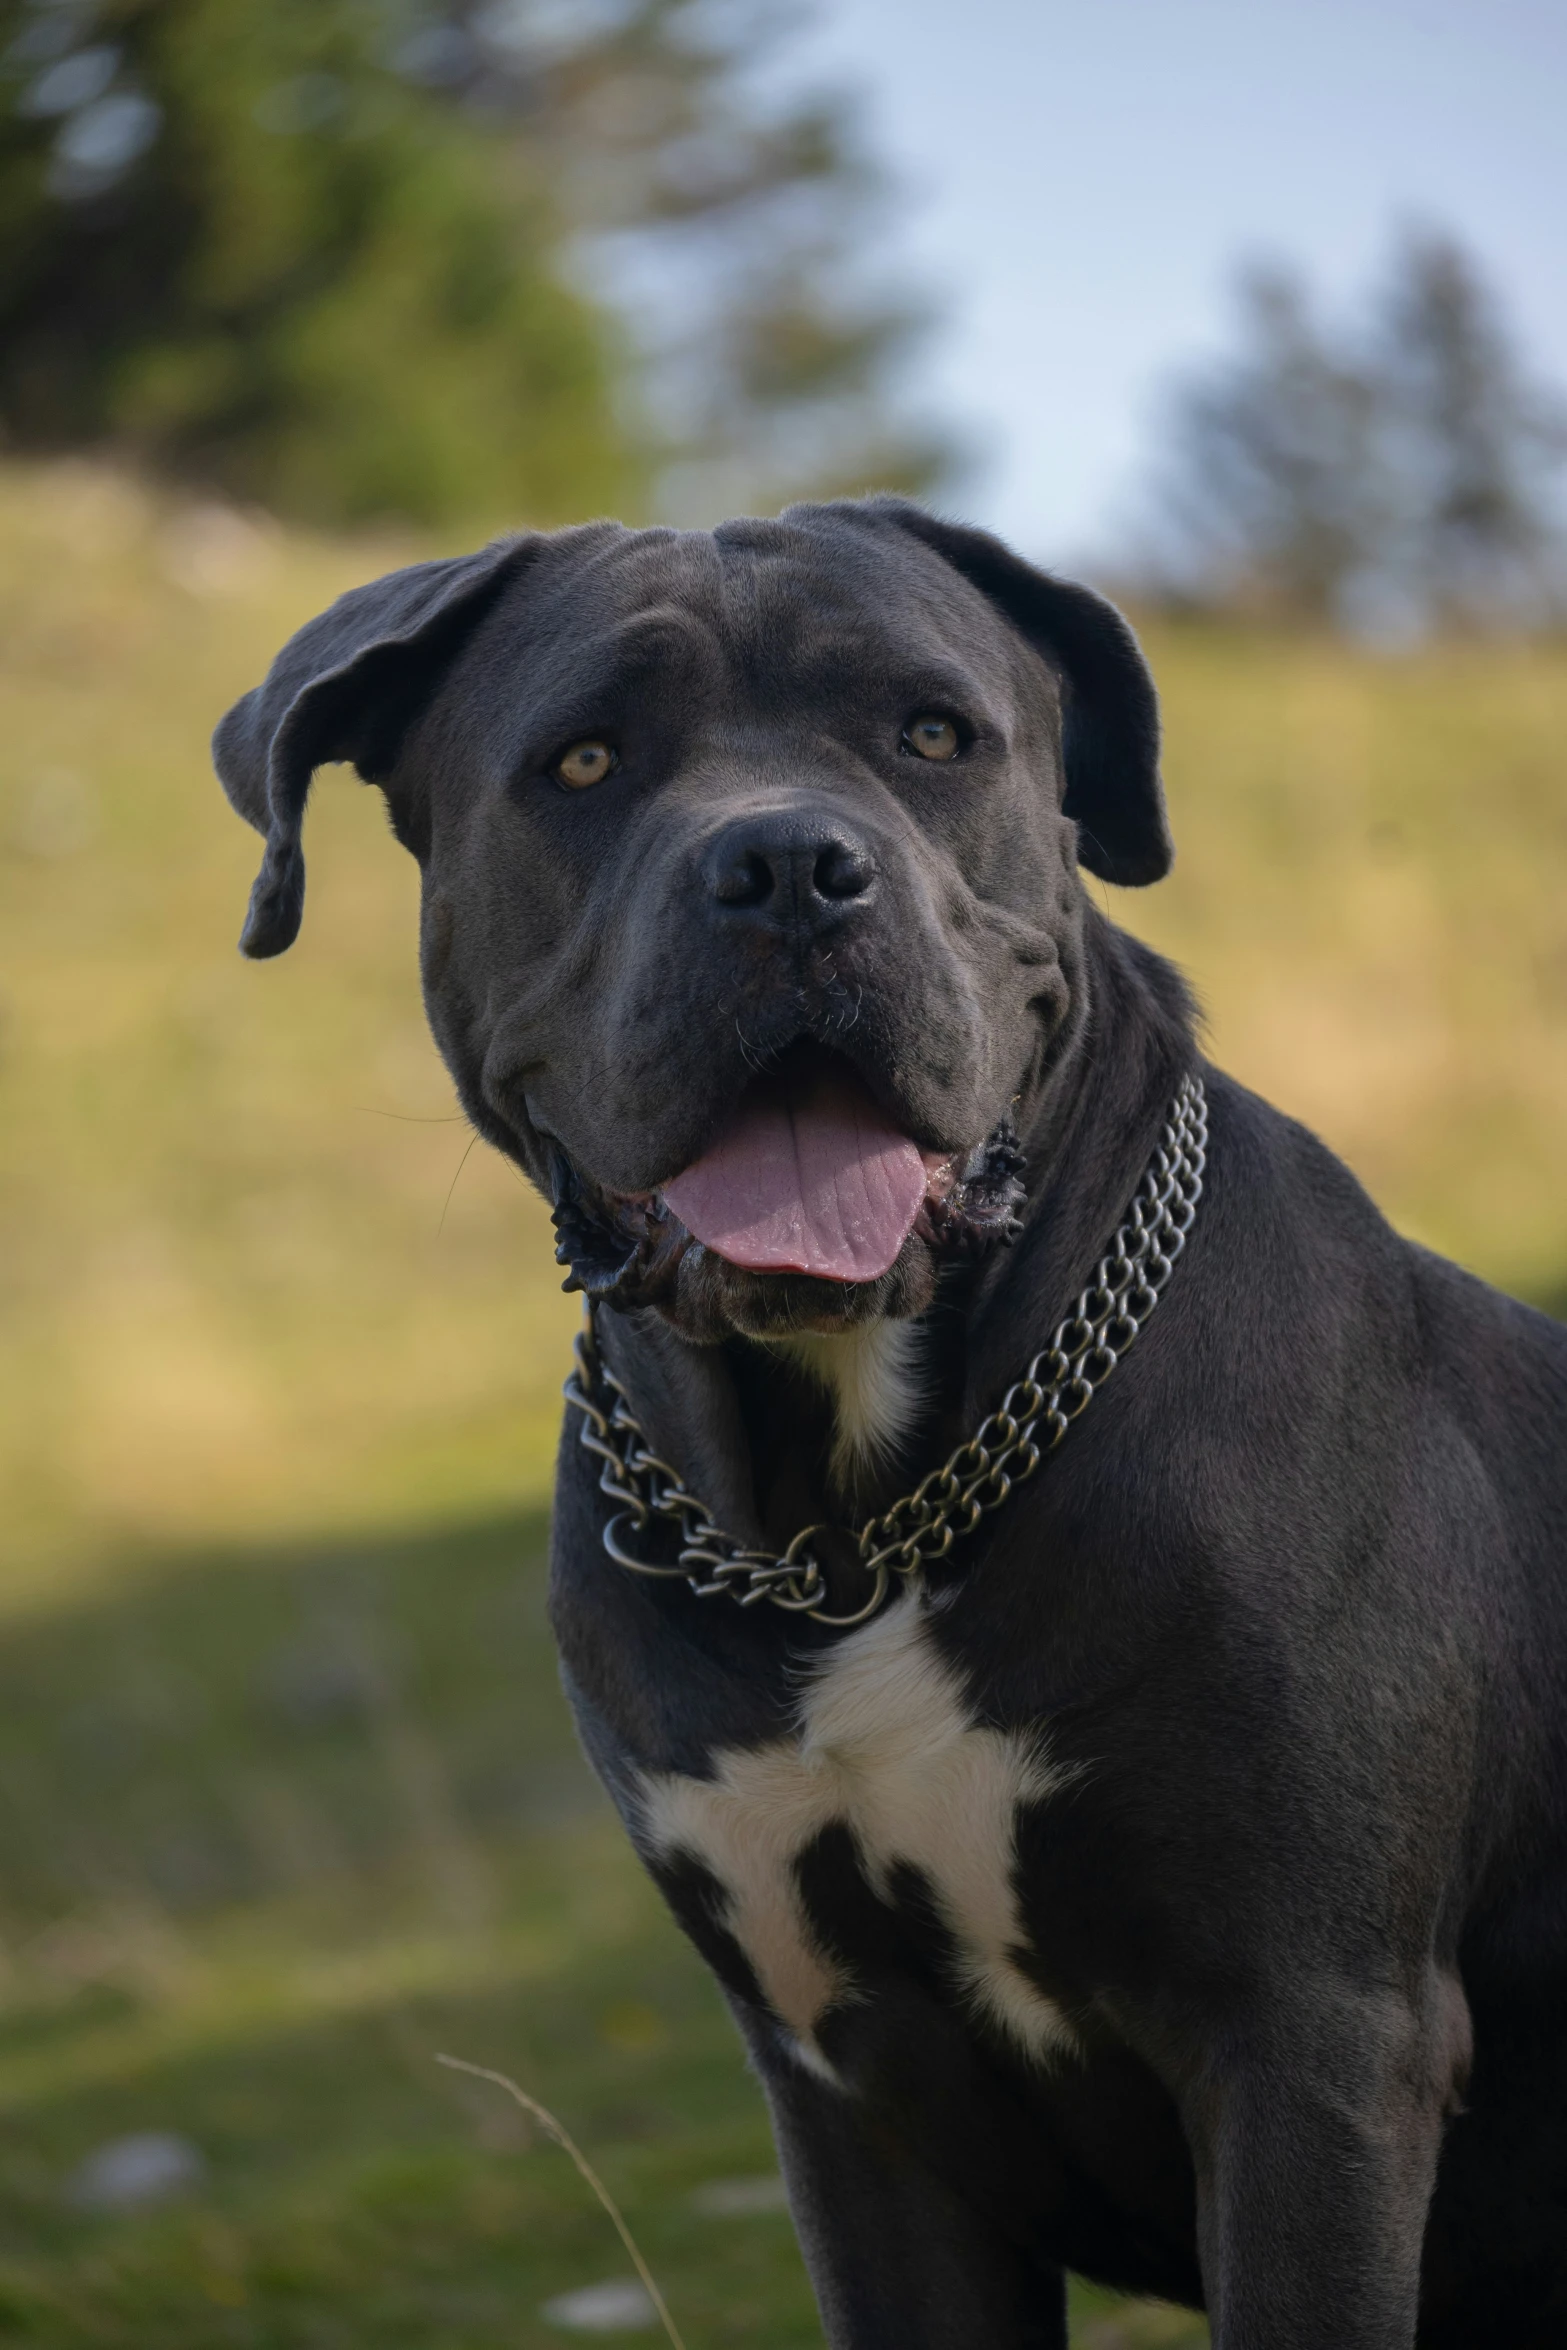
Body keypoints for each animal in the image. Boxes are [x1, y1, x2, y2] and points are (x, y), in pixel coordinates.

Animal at [211, 500, 1567, 2350]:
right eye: (584, 760)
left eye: (932, 736)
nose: (787, 864)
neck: (843, 1525)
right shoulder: (853, 2106)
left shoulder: (1313, 2042)